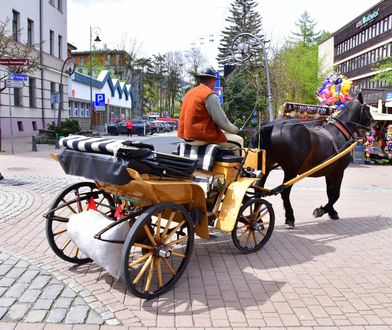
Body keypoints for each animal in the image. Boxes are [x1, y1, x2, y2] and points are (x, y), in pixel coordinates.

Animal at [250, 93, 372, 227]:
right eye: (368, 109)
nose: (372, 124)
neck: (340, 131)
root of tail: (269, 127)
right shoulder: (338, 172)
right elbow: (335, 194)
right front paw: (322, 210)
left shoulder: (329, 172)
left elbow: (330, 193)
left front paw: (331, 211)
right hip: (291, 170)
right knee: (284, 192)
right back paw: (289, 217)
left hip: (267, 165)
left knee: (258, 188)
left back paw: (257, 219)